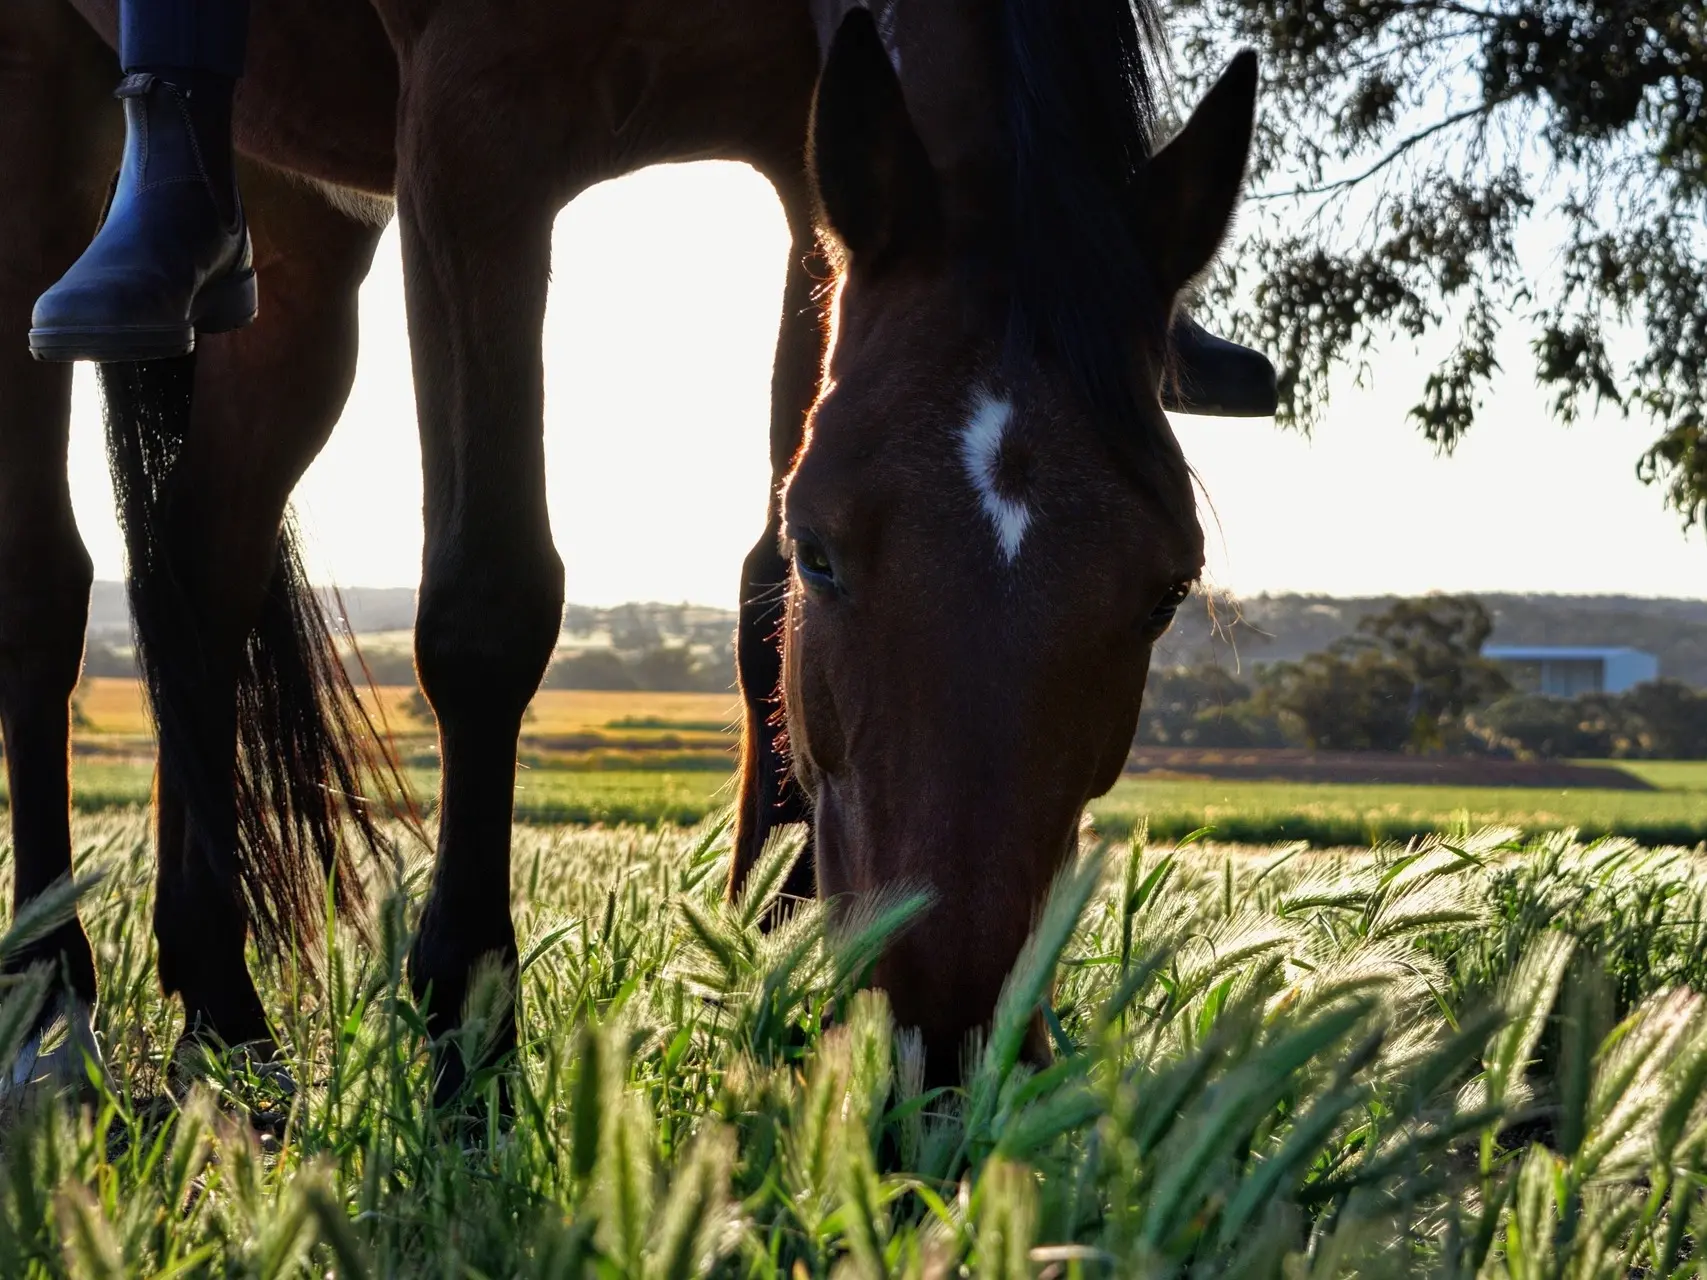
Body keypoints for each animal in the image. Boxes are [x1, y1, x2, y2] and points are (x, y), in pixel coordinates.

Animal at [0, 0, 1276, 1105]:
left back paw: (220, 1012)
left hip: (296, 213)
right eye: (829, 552)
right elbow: (489, 600)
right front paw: (470, 1041)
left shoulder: (806, 155)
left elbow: (759, 602)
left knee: (201, 558)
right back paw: (54, 1008)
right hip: (47, 114)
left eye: (1166, 591)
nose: (949, 1040)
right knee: (49, 581)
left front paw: (775, 976)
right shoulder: (473, 124)